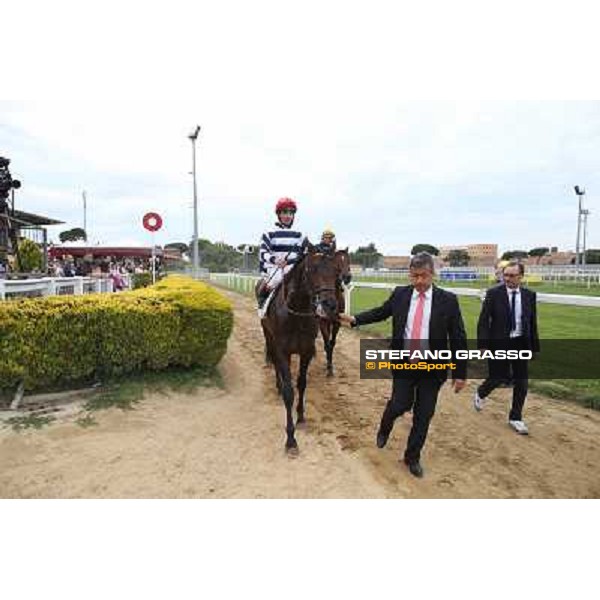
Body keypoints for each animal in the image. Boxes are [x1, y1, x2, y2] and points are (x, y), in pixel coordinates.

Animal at [318, 247, 352, 376]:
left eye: (348, 260)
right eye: (337, 262)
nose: (347, 277)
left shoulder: (337, 322)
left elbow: (332, 343)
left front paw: (330, 366)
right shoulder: (322, 322)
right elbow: (327, 343)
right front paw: (329, 368)